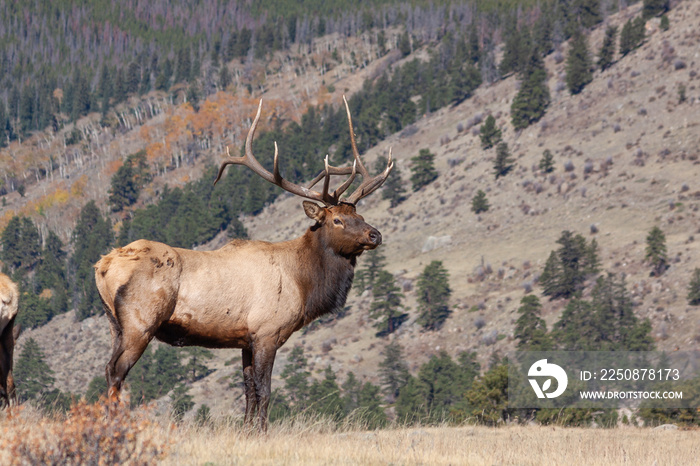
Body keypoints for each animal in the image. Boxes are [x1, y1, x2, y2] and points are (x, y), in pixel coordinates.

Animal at [92, 95, 392, 434]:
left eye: (360, 214)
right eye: (337, 219)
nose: (375, 234)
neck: (304, 285)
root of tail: (102, 265)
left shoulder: (245, 339)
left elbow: (248, 389)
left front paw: (247, 431)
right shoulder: (267, 331)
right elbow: (265, 389)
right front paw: (262, 432)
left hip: (114, 324)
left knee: (108, 369)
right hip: (140, 321)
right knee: (116, 371)